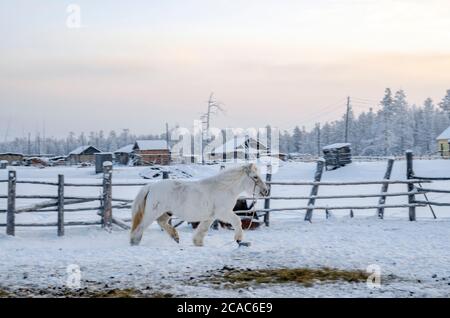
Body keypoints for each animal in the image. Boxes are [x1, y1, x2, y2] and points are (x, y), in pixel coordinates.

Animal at [131, 163, 270, 247]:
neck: (224, 188)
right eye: (255, 177)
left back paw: (176, 237)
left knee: (161, 222)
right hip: (152, 212)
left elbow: (203, 229)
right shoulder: (223, 213)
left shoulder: (211, 216)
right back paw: (134, 242)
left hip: (166, 212)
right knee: (140, 227)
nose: (265, 191)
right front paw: (239, 239)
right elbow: (237, 221)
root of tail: (151, 186)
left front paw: (198, 243)